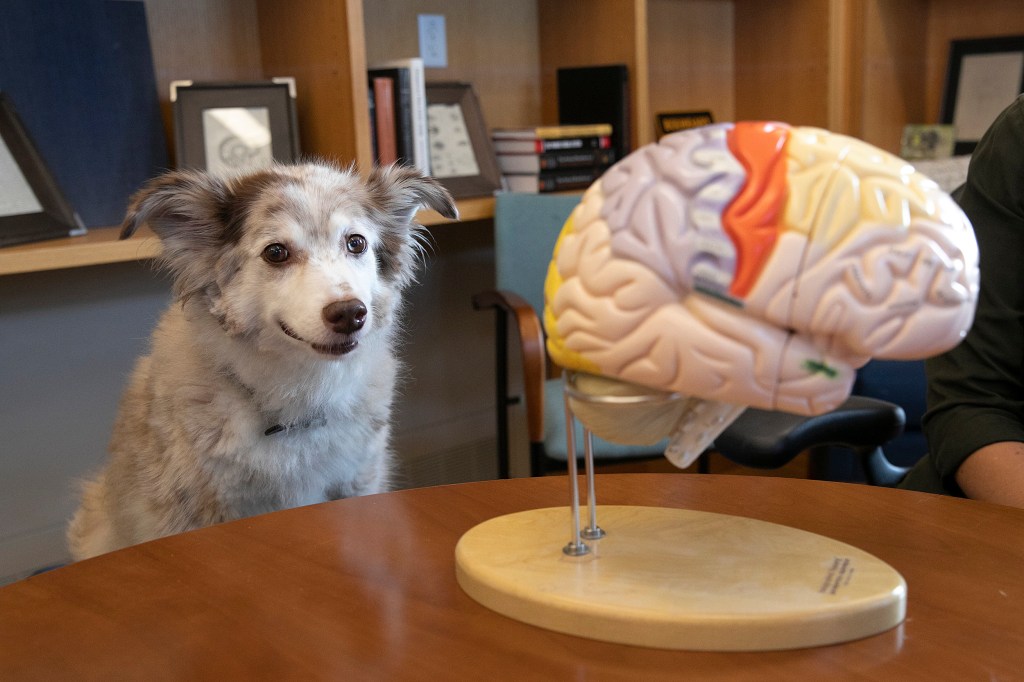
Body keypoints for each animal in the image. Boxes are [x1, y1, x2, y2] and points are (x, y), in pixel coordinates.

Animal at [67, 160, 456, 557]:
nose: (350, 314)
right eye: (276, 252)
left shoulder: (360, 481)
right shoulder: (190, 512)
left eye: (356, 243)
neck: (298, 401)